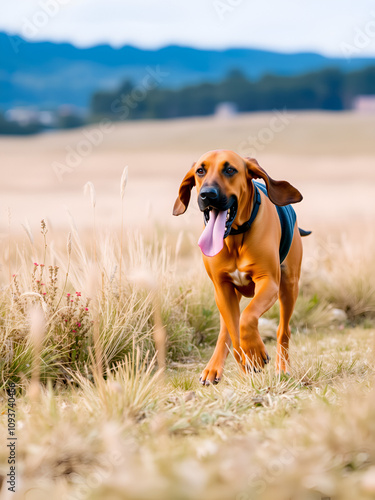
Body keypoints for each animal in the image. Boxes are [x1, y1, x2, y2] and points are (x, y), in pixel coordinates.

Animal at [174, 150, 312, 384]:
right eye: (200, 171)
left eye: (230, 169)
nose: (207, 195)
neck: (235, 236)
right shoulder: (222, 289)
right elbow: (235, 333)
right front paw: (249, 362)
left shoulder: (269, 282)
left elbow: (247, 318)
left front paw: (255, 352)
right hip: (227, 296)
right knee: (226, 331)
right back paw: (214, 368)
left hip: (289, 286)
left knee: (283, 330)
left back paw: (282, 368)